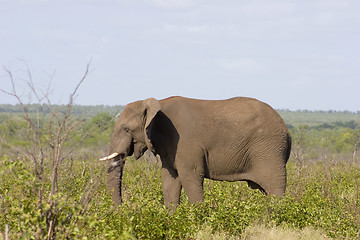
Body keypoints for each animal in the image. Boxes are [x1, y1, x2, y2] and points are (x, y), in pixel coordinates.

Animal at [100, 96, 292, 209]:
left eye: (126, 129)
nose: (123, 209)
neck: (157, 103)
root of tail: (286, 129)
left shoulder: (185, 142)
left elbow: (190, 177)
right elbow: (170, 179)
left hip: (269, 150)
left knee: (275, 189)